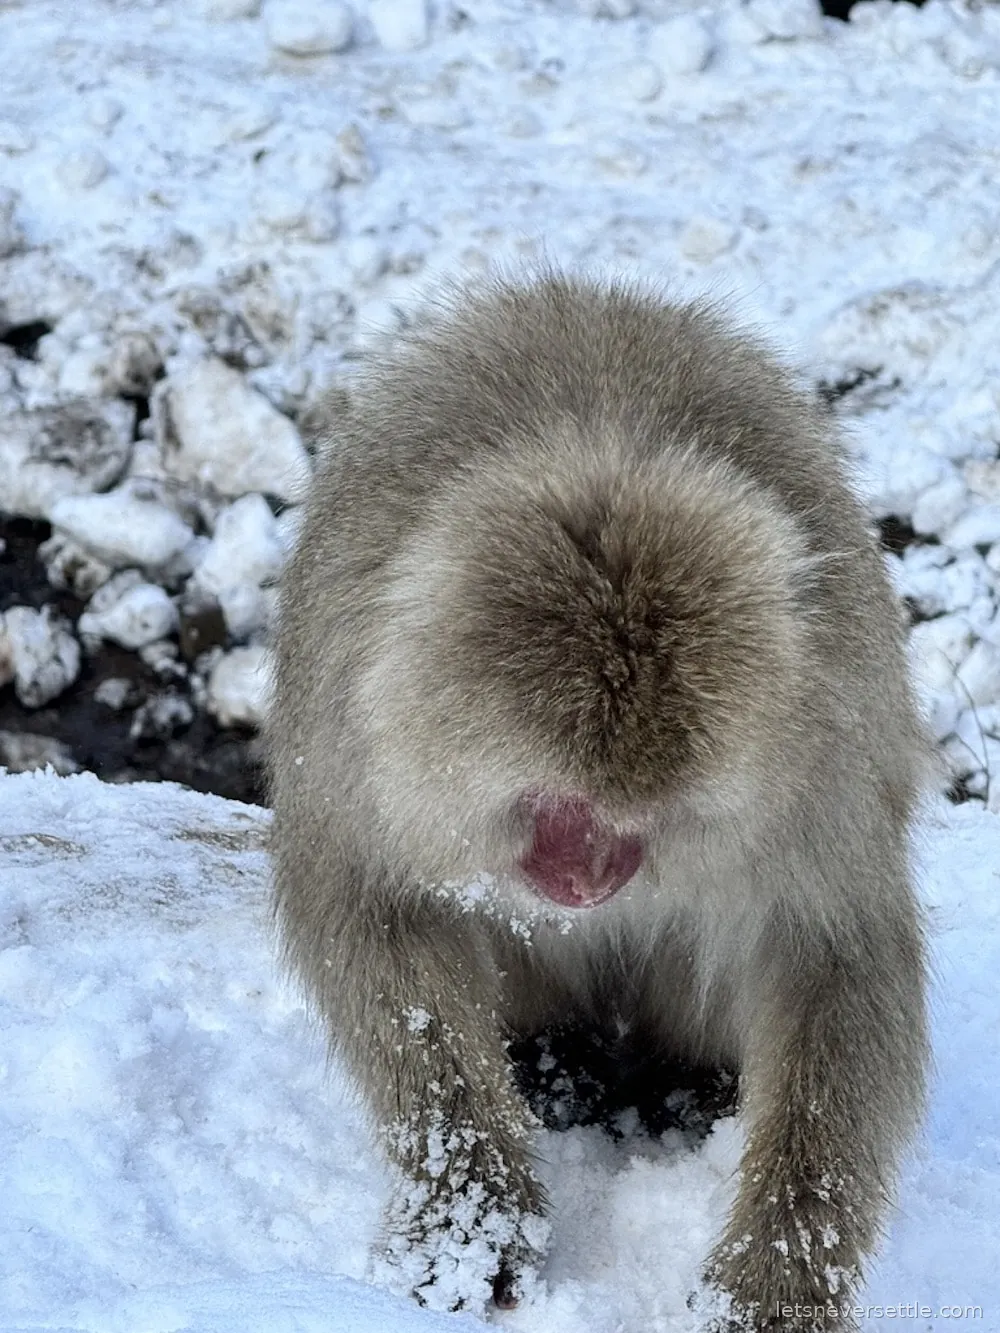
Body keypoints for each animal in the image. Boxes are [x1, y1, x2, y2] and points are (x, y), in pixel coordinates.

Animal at [267, 271, 929, 1331]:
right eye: (562, 805)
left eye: (643, 817)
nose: (588, 880)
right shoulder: (350, 735)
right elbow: (377, 924)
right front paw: (472, 1210)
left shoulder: (823, 761)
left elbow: (835, 959)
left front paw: (779, 1275)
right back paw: (557, 1059)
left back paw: (683, 1080)